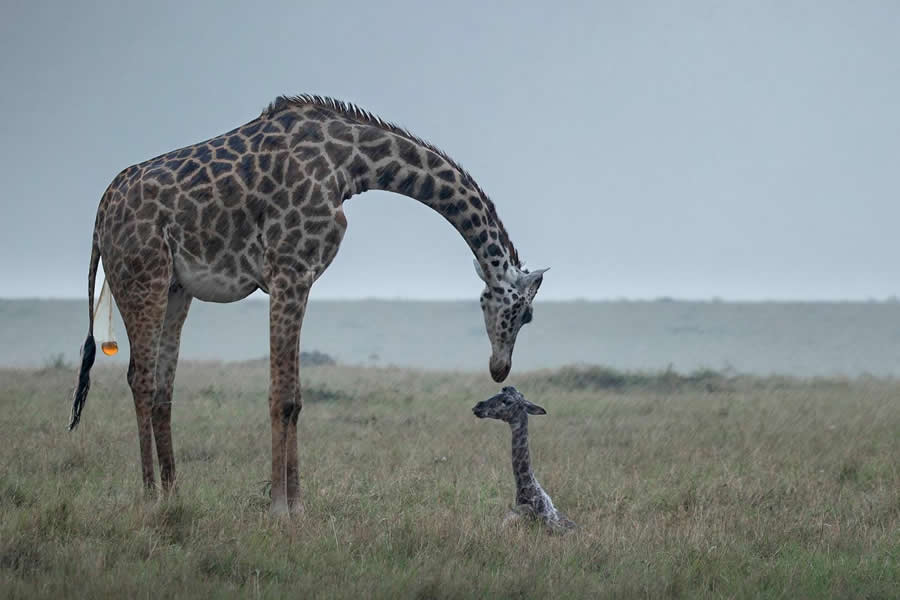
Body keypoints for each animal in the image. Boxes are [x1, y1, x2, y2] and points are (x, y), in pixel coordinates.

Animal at [68, 95, 548, 515]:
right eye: (524, 314)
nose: (500, 368)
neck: (350, 164)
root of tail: (101, 210)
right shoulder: (289, 270)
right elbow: (281, 396)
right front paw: (280, 507)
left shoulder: (302, 277)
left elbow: (297, 397)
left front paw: (298, 504)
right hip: (142, 277)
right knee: (141, 378)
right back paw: (150, 494)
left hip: (175, 289)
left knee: (163, 387)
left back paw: (173, 492)